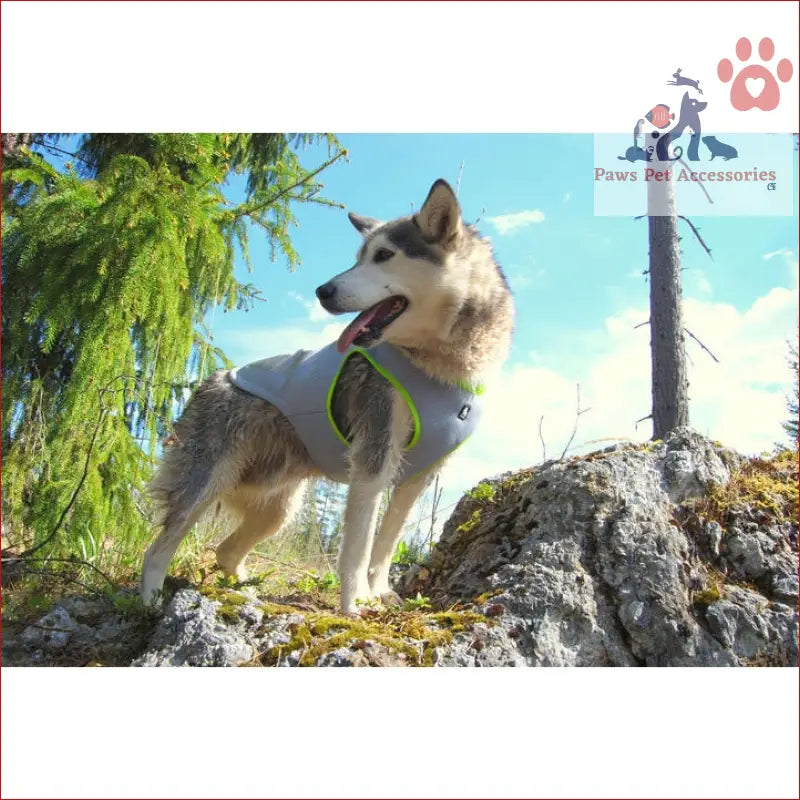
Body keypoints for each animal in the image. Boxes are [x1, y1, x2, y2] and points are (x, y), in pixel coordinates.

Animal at [141, 178, 516, 608]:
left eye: (383, 255)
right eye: (358, 258)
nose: (321, 290)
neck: (439, 368)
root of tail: (212, 378)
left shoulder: (416, 478)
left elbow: (385, 545)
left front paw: (380, 593)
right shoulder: (373, 459)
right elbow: (358, 546)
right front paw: (355, 605)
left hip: (277, 508)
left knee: (226, 551)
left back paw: (246, 592)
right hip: (205, 484)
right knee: (157, 550)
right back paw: (149, 602)